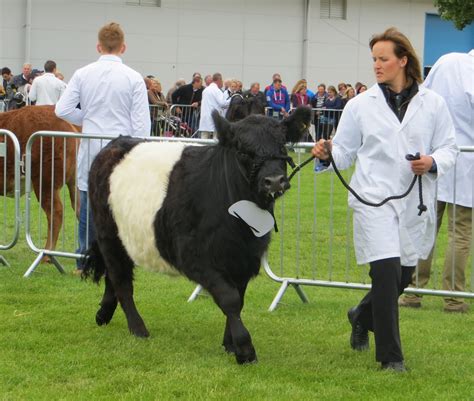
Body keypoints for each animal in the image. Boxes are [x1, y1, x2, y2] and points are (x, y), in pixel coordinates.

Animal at [82, 108, 312, 364]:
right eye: (243, 151)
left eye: (282, 145)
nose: (274, 181)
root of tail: (115, 144)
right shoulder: (195, 257)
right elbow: (230, 299)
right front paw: (245, 348)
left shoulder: (243, 260)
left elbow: (239, 300)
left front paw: (230, 344)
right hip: (108, 233)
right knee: (120, 279)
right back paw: (138, 328)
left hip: (125, 238)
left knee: (114, 275)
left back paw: (103, 314)